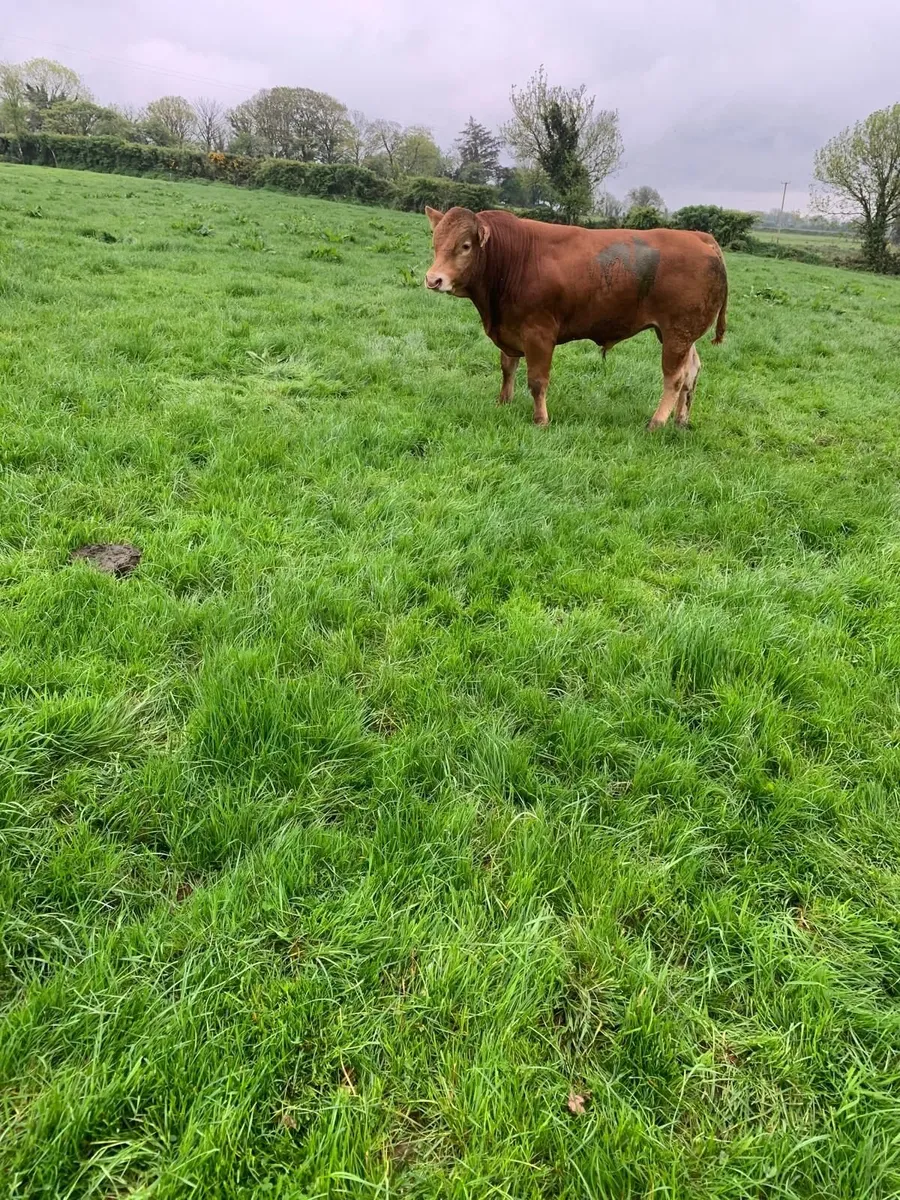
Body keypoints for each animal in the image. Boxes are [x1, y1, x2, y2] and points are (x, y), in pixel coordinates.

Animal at [424, 206, 728, 429]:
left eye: (465, 246)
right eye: (435, 243)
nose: (433, 279)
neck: (514, 259)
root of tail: (699, 237)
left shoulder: (539, 333)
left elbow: (537, 381)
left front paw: (541, 420)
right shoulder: (510, 328)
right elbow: (507, 368)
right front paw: (503, 402)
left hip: (677, 333)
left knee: (674, 378)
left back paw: (657, 422)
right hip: (679, 336)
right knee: (691, 373)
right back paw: (681, 420)